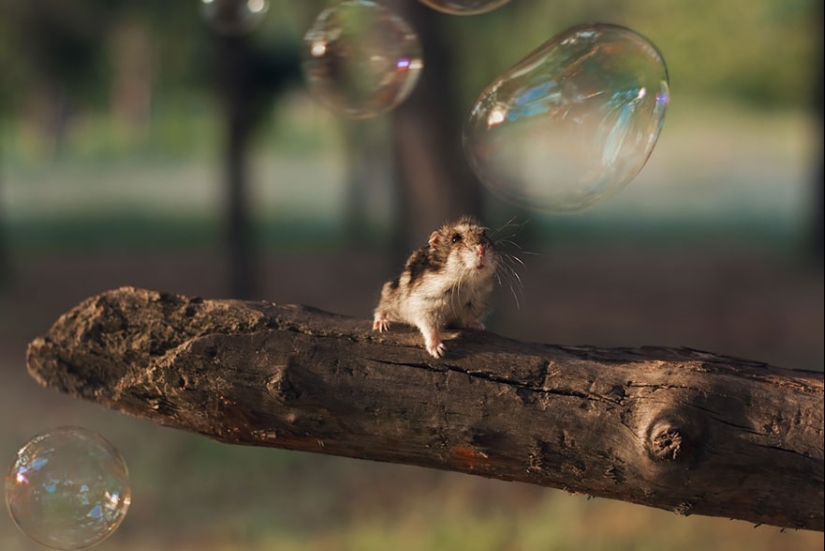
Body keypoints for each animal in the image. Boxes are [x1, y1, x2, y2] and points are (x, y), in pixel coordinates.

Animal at [372, 216, 496, 358]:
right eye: (455, 238)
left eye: (484, 234)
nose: (482, 250)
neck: (466, 281)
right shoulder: (425, 305)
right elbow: (429, 327)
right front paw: (438, 351)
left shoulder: (476, 302)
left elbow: (468, 318)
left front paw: (479, 326)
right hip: (390, 293)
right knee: (381, 308)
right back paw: (381, 324)